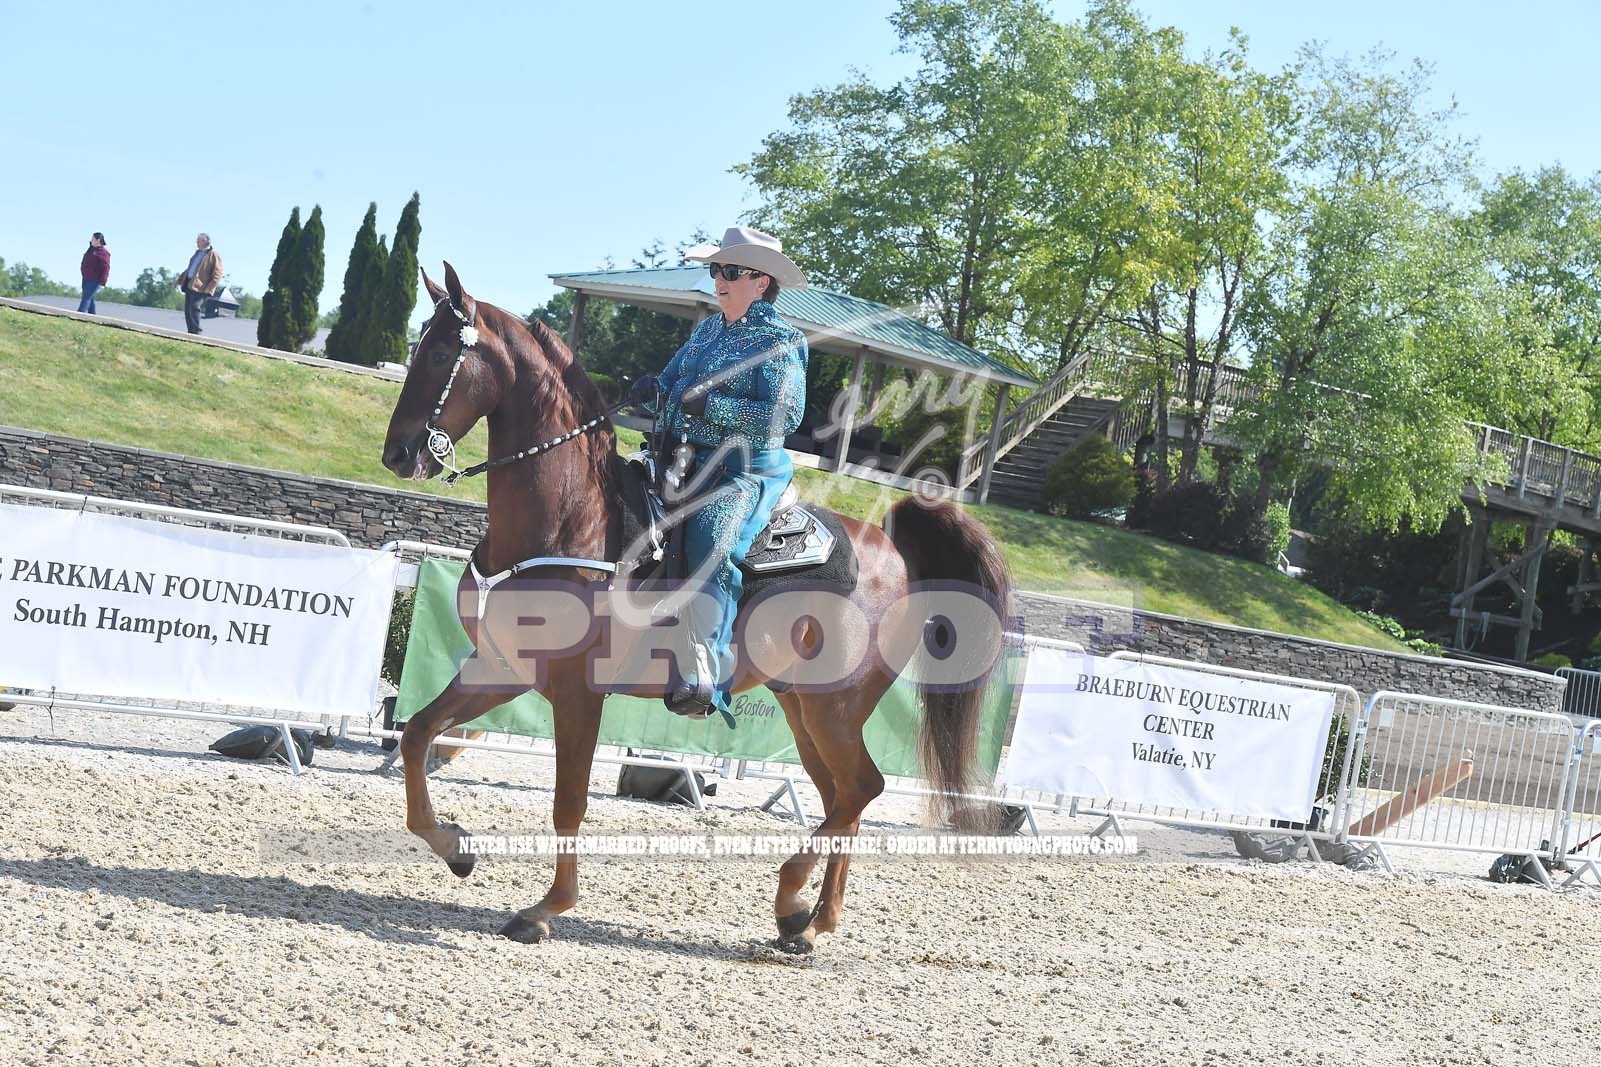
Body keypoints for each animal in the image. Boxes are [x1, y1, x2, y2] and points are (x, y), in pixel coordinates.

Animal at [381, 262, 1013, 950]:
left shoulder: (578, 694)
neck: (575, 520)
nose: (397, 453)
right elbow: (417, 734)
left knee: (860, 789)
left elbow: (568, 801)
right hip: (804, 709)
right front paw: (456, 846)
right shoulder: (501, 668)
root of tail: (891, 548)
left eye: (440, 352)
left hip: (836, 707)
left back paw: (795, 898)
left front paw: (546, 908)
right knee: (843, 796)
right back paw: (810, 919)